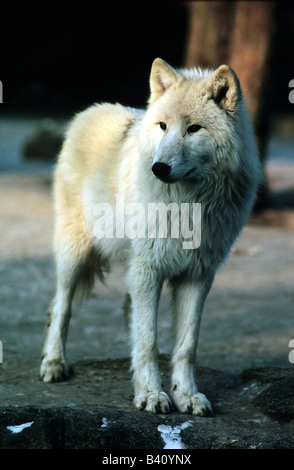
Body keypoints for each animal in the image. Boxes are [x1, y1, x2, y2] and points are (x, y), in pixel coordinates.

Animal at [40, 57, 260, 414]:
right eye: (162, 126)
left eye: (193, 128)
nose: (159, 168)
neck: (188, 205)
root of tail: (90, 110)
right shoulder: (148, 270)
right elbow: (148, 340)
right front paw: (151, 394)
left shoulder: (197, 276)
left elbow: (185, 346)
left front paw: (186, 396)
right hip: (75, 254)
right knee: (60, 307)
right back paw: (53, 364)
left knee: (124, 312)